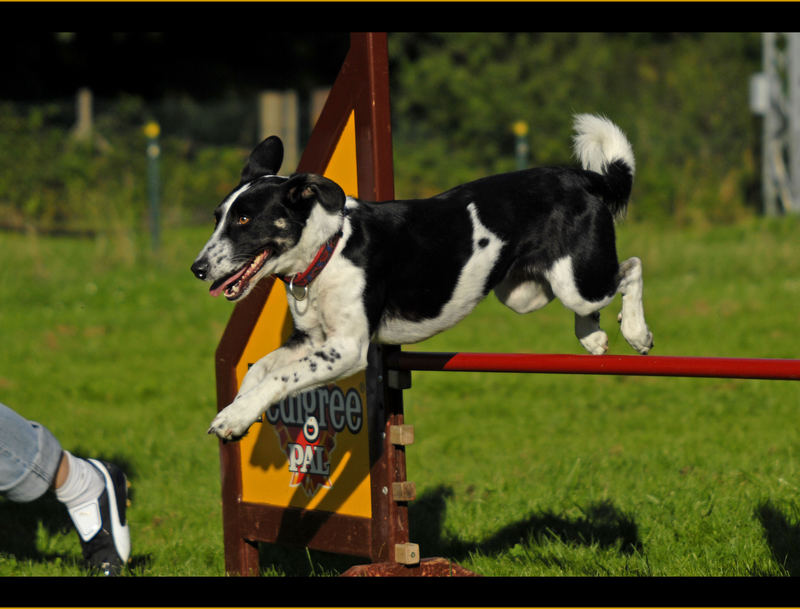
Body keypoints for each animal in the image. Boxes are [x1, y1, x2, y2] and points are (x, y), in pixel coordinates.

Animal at [192, 115, 648, 436]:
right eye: (218, 217)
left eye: (245, 219)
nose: (197, 269)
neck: (329, 249)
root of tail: (584, 177)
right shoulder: (312, 340)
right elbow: (259, 370)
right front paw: (238, 410)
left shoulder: (347, 349)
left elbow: (281, 376)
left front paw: (233, 419)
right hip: (525, 293)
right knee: (591, 295)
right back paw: (593, 337)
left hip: (579, 280)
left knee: (631, 268)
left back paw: (637, 332)